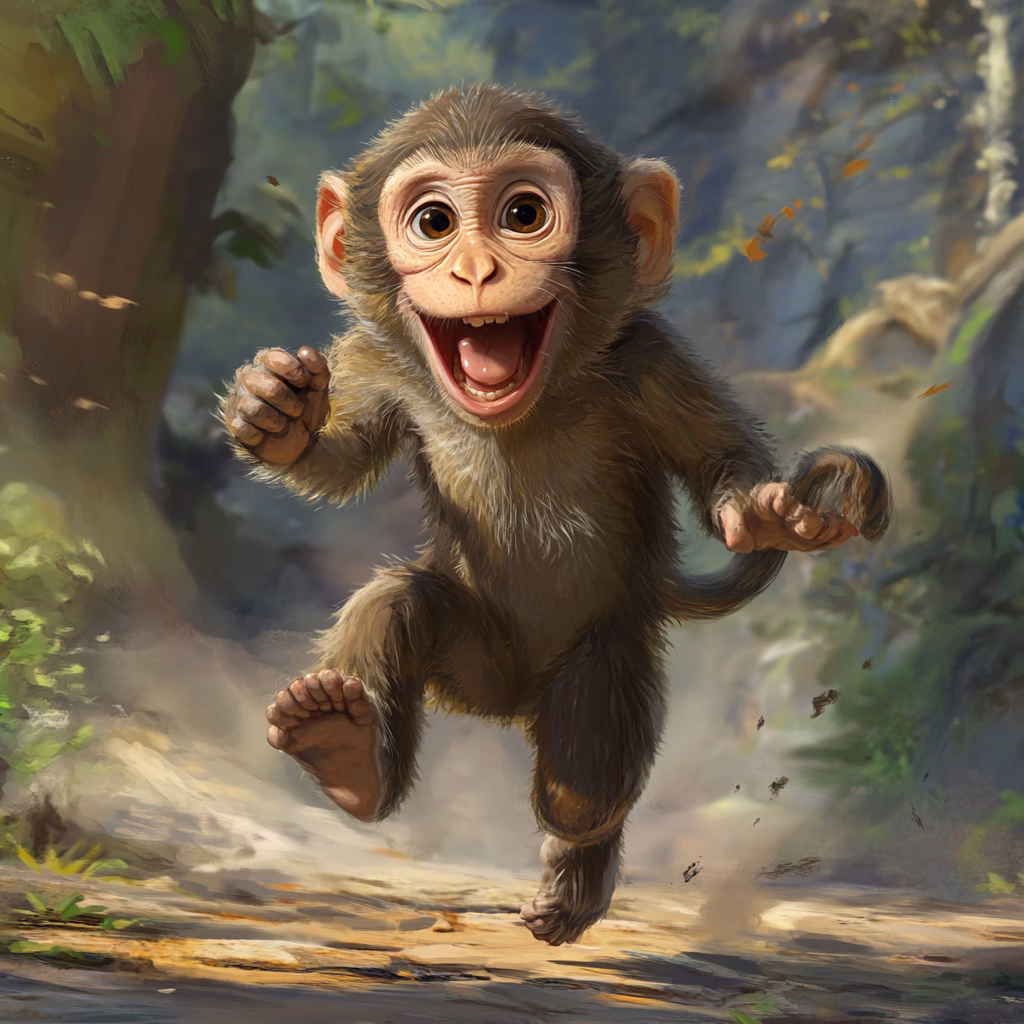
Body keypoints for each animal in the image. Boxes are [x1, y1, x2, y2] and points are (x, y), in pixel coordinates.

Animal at [219, 84, 890, 947]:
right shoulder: (376, 360)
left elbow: (716, 458)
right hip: (469, 662)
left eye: (524, 214)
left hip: (607, 651)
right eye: (433, 222)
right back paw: (344, 748)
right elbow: (341, 459)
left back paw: (575, 871)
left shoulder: (650, 360)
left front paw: (763, 511)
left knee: (583, 782)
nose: (476, 268)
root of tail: (507, 704)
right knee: (400, 602)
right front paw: (276, 412)